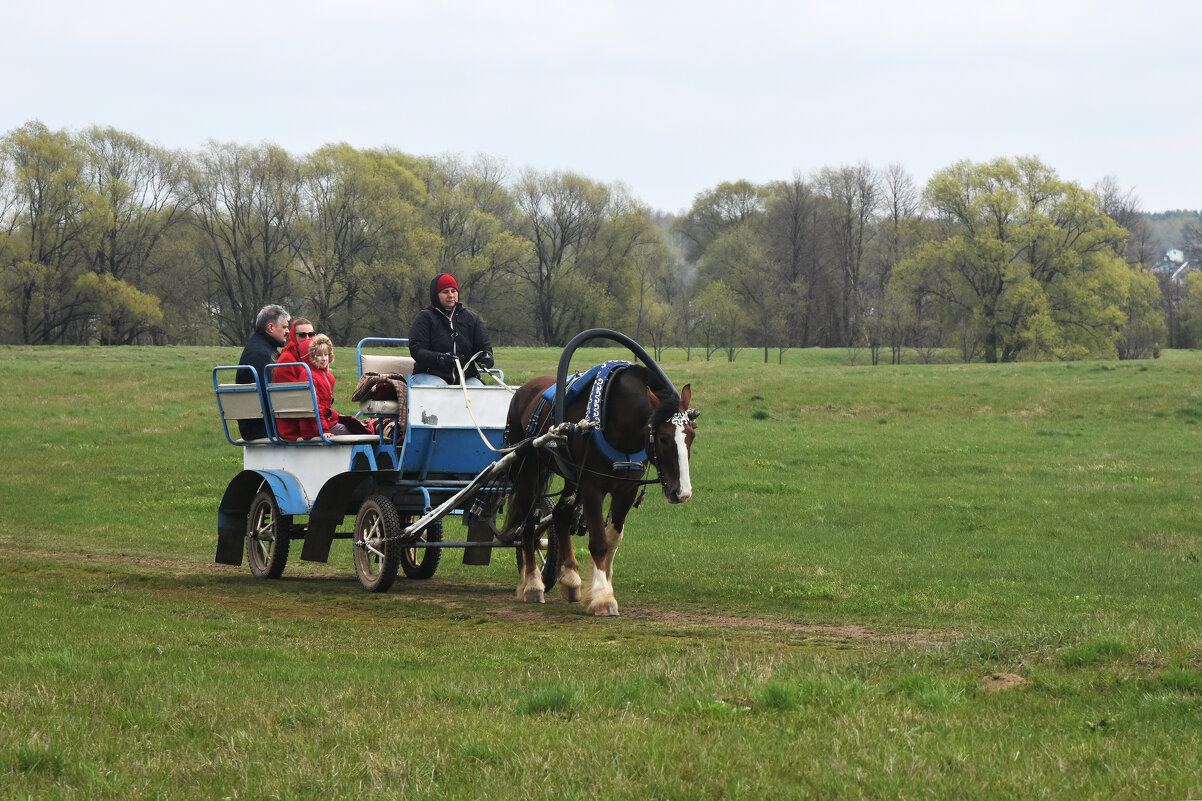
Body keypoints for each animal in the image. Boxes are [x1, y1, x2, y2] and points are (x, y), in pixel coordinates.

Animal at [502, 365, 701, 613]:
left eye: (691, 436)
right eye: (663, 438)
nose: (681, 492)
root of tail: (523, 390)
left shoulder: (626, 489)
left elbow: (612, 540)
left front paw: (603, 585)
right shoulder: (592, 487)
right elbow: (598, 542)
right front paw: (602, 597)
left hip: (571, 477)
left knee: (560, 515)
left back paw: (570, 578)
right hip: (528, 470)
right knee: (528, 524)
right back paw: (532, 583)